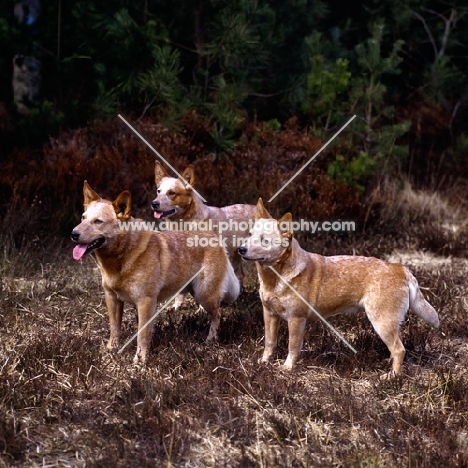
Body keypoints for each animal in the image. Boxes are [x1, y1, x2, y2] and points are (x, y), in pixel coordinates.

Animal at [71, 182, 239, 362]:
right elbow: (115, 328)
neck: (120, 259)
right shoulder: (112, 298)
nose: (73, 234)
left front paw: (140, 360)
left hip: (204, 294)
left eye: (98, 221)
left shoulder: (145, 302)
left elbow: (142, 335)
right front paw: (110, 350)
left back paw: (210, 340)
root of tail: (215, 239)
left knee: (218, 314)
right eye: (83, 218)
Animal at [239, 197, 440, 376]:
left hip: (382, 322)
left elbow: (292, 347)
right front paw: (263, 362)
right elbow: (269, 342)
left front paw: (287, 368)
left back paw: (392, 377)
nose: (241, 249)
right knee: (396, 348)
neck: (274, 279)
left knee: (399, 349)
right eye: (249, 235)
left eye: (264, 240)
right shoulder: (269, 314)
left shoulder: (296, 318)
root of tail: (400, 268)